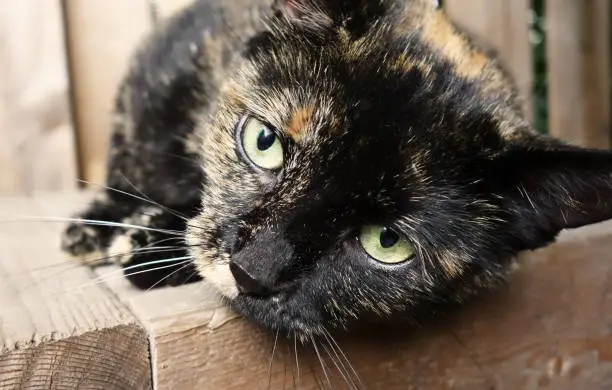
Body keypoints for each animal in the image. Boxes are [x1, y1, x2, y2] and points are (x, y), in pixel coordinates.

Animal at [59, 0, 612, 338]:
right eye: (264, 142)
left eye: (387, 242)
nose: (249, 271)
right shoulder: (164, 71)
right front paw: (129, 231)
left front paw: (151, 243)